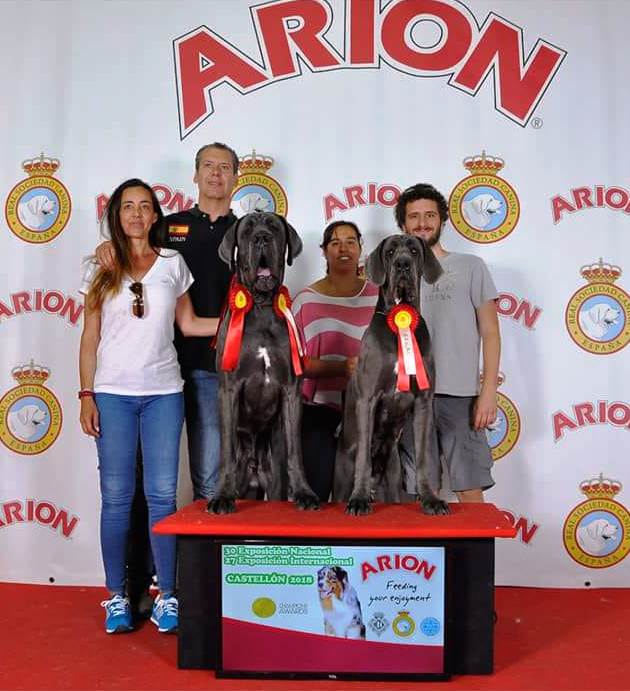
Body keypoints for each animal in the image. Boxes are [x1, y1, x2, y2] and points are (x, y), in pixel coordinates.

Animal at [210, 214, 320, 516]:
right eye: (247, 230)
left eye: (273, 227)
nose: (261, 237)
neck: (261, 307)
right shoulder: (229, 389)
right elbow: (226, 449)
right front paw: (221, 497)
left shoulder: (291, 390)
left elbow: (296, 450)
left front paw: (305, 493)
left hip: (274, 478)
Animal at [336, 235, 450, 516]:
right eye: (389, 252)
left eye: (414, 251)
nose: (402, 264)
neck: (399, 324)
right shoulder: (368, 400)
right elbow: (364, 457)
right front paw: (359, 499)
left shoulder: (423, 401)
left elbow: (423, 457)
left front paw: (430, 499)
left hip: (393, 473)